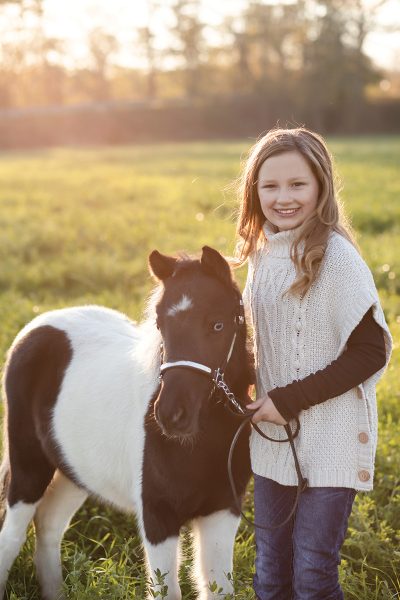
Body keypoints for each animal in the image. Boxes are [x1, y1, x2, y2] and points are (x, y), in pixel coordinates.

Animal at [0, 246, 253, 596]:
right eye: (160, 324)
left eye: (217, 325)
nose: (171, 415)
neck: (202, 443)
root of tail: (38, 325)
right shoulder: (157, 516)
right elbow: (166, 590)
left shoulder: (222, 511)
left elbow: (218, 587)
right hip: (28, 465)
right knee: (12, 536)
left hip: (73, 472)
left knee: (49, 528)